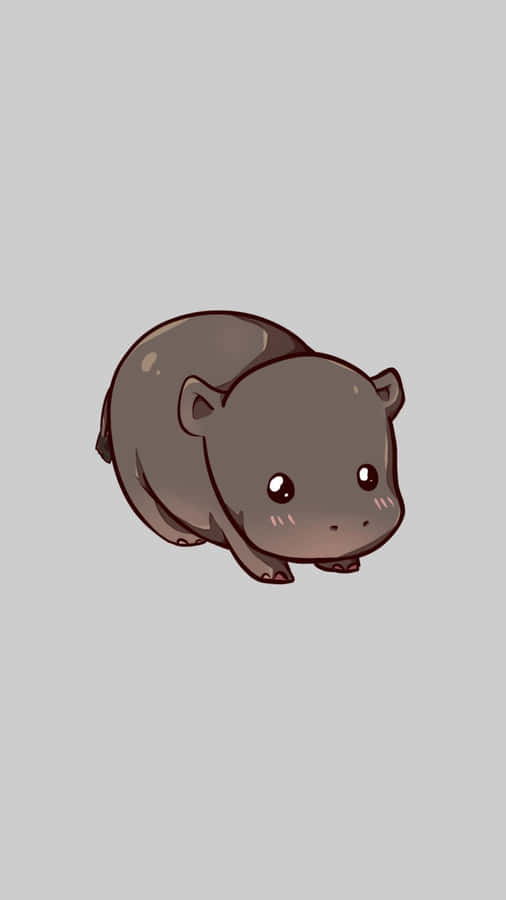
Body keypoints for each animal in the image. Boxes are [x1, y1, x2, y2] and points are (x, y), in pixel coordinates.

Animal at [96, 311, 405, 584]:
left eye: (368, 475)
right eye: (278, 487)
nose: (344, 524)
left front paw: (343, 565)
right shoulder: (217, 503)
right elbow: (242, 541)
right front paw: (276, 576)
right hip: (128, 461)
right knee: (145, 501)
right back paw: (185, 538)